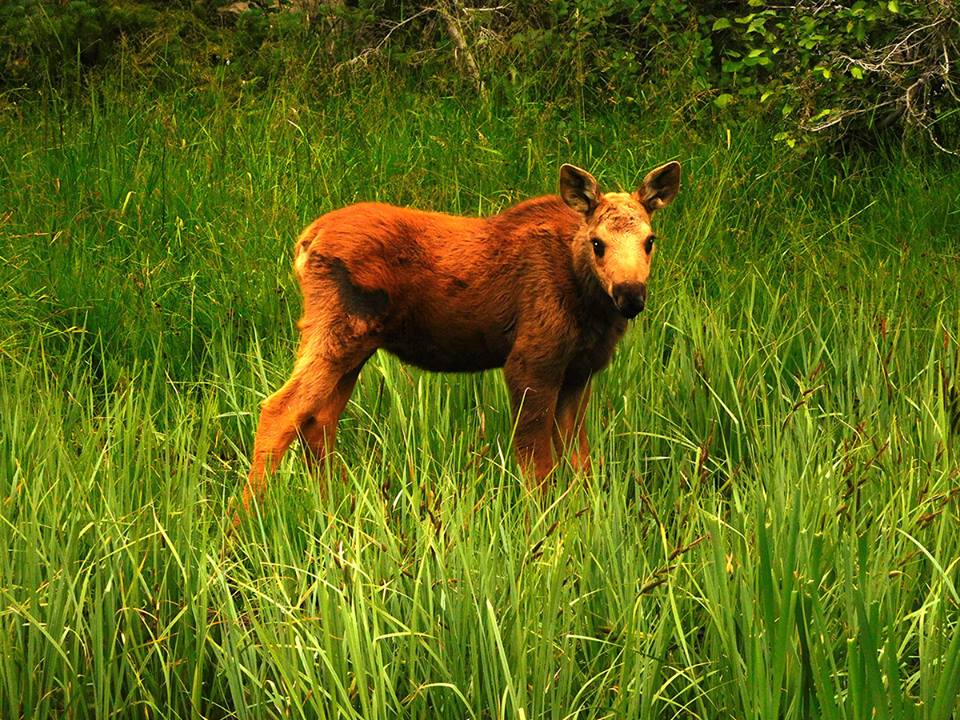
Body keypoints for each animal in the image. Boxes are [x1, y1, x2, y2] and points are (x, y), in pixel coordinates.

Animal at [248, 163, 684, 512]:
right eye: (598, 243)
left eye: (650, 240)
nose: (630, 295)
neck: (587, 303)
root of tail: (305, 242)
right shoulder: (531, 360)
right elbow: (537, 465)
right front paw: (541, 527)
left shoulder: (580, 371)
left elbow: (580, 462)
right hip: (338, 328)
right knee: (280, 409)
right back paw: (247, 521)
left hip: (353, 344)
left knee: (318, 420)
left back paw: (335, 507)